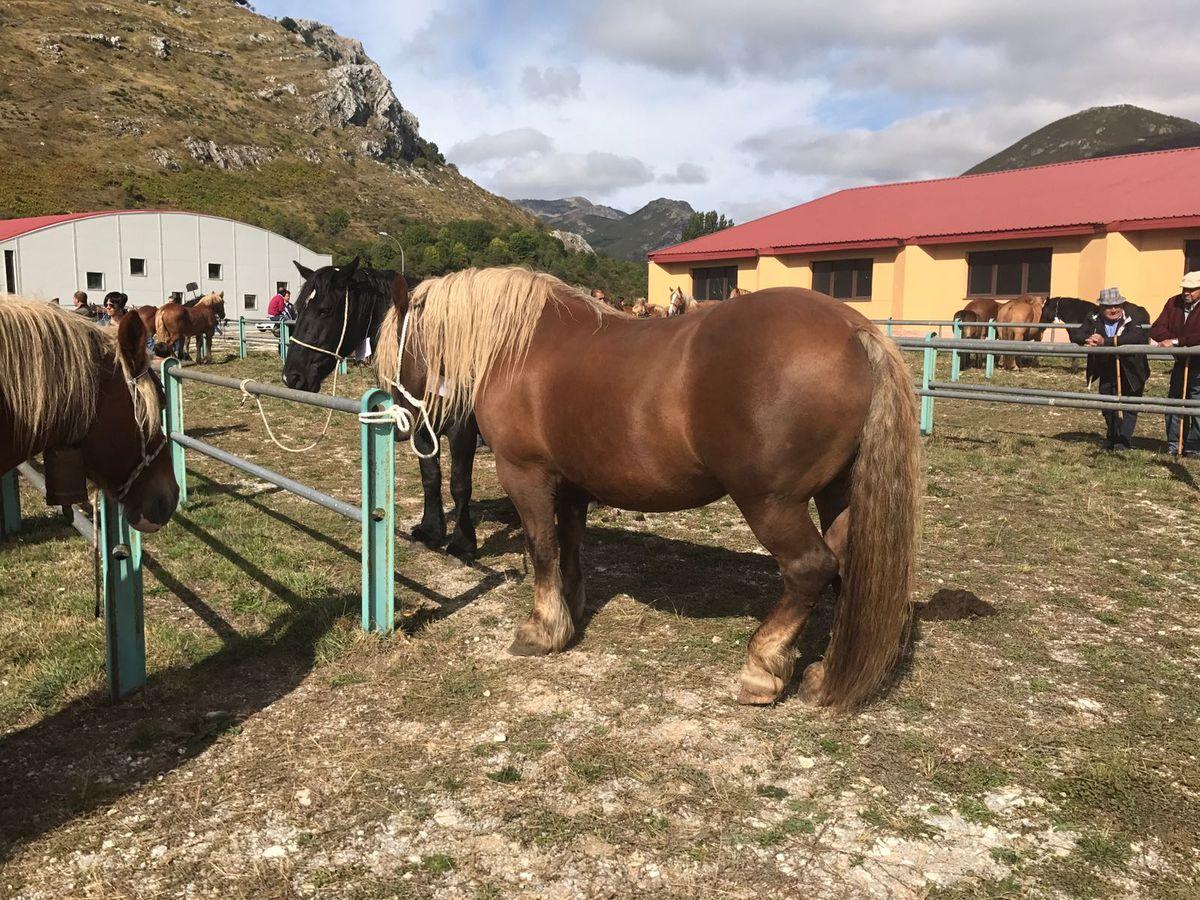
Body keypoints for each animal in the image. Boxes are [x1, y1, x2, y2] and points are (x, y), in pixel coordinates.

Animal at [283, 256, 480, 561]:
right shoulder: (422, 427)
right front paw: (431, 532)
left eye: (325, 310)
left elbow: (459, 484)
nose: (291, 377)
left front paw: (462, 544)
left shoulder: (463, 430)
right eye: (299, 307)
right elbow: (431, 477)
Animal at [379, 267, 921, 710]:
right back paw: (823, 674)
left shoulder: (525, 473)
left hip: (770, 503)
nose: (402, 426)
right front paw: (571, 610)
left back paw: (762, 668)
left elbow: (543, 546)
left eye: (392, 352)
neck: (520, 346)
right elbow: (571, 544)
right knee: (845, 567)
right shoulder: (573, 481)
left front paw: (542, 629)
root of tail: (855, 331)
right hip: (838, 495)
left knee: (810, 569)